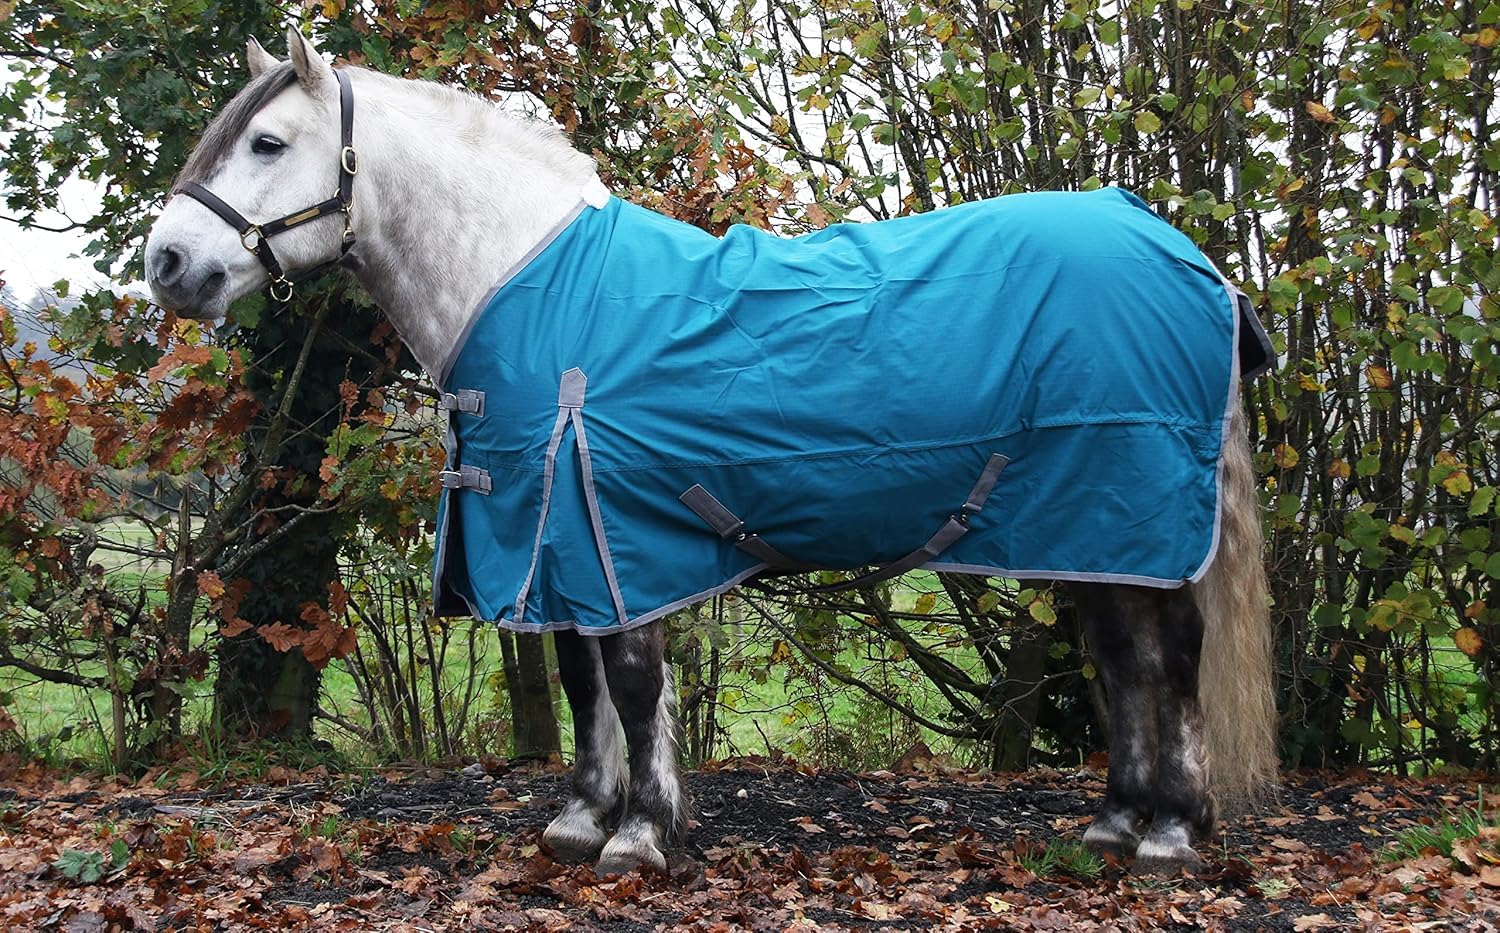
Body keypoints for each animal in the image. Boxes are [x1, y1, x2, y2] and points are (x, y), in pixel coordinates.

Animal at [144, 27, 1277, 877]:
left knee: (1172, 656)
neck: (537, 287)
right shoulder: (558, 533)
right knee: (1121, 656)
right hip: (1091, 527)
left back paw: (1171, 832)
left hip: (1140, 510)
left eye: (267, 143)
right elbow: (579, 678)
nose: (167, 264)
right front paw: (583, 816)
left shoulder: (615, 527)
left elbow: (634, 682)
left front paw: (642, 833)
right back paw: (1115, 820)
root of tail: (1187, 256)